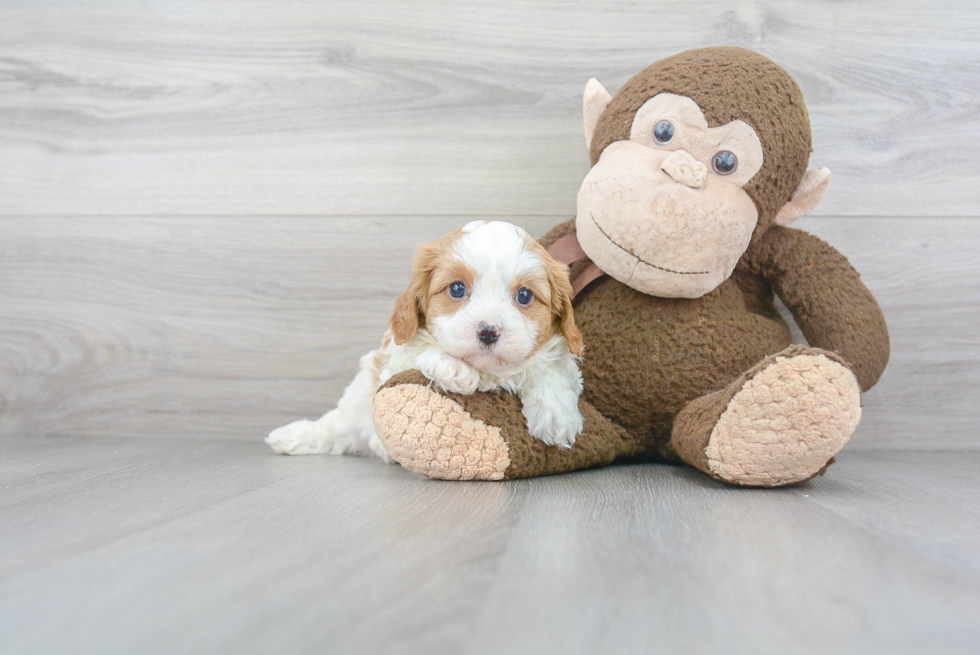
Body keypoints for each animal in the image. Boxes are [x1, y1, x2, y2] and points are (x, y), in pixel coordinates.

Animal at [268, 220, 584, 462]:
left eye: (525, 296)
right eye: (457, 289)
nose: (488, 331)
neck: (489, 372)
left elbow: (551, 367)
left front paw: (557, 415)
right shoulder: (394, 356)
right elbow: (419, 351)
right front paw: (453, 369)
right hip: (354, 404)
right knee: (334, 427)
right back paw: (290, 437)